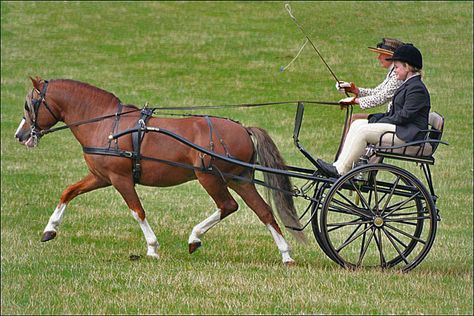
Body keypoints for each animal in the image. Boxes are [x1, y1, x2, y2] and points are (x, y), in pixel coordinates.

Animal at [14, 78, 306, 266]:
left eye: (29, 105)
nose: (20, 135)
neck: (107, 125)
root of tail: (243, 128)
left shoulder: (120, 179)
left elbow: (137, 211)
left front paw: (152, 248)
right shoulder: (101, 177)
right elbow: (68, 192)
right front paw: (50, 229)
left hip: (209, 177)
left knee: (228, 205)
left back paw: (195, 237)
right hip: (240, 179)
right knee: (264, 211)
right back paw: (286, 255)